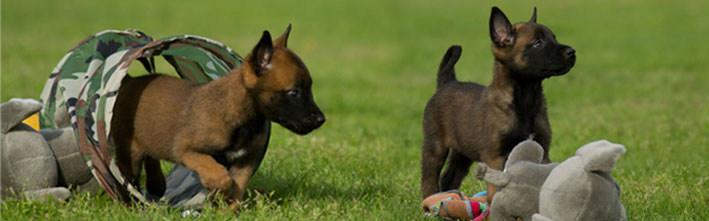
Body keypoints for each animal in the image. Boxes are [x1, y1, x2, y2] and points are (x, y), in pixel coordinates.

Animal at [112, 25, 324, 208]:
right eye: (294, 92)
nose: (321, 120)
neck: (244, 121)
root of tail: (129, 82)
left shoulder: (245, 162)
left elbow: (236, 189)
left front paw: (225, 209)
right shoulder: (186, 150)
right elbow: (221, 177)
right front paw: (218, 191)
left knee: (151, 157)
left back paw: (157, 184)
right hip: (130, 154)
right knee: (131, 175)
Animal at [420, 6, 576, 201]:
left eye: (554, 38)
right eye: (538, 43)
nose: (572, 52)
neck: (524, 101)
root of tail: (447, 82)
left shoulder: (542, 151)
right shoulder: (495, 156)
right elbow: (495, 191)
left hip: (462, 151)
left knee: (449, 177)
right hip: (435, 146)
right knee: (429, 179)